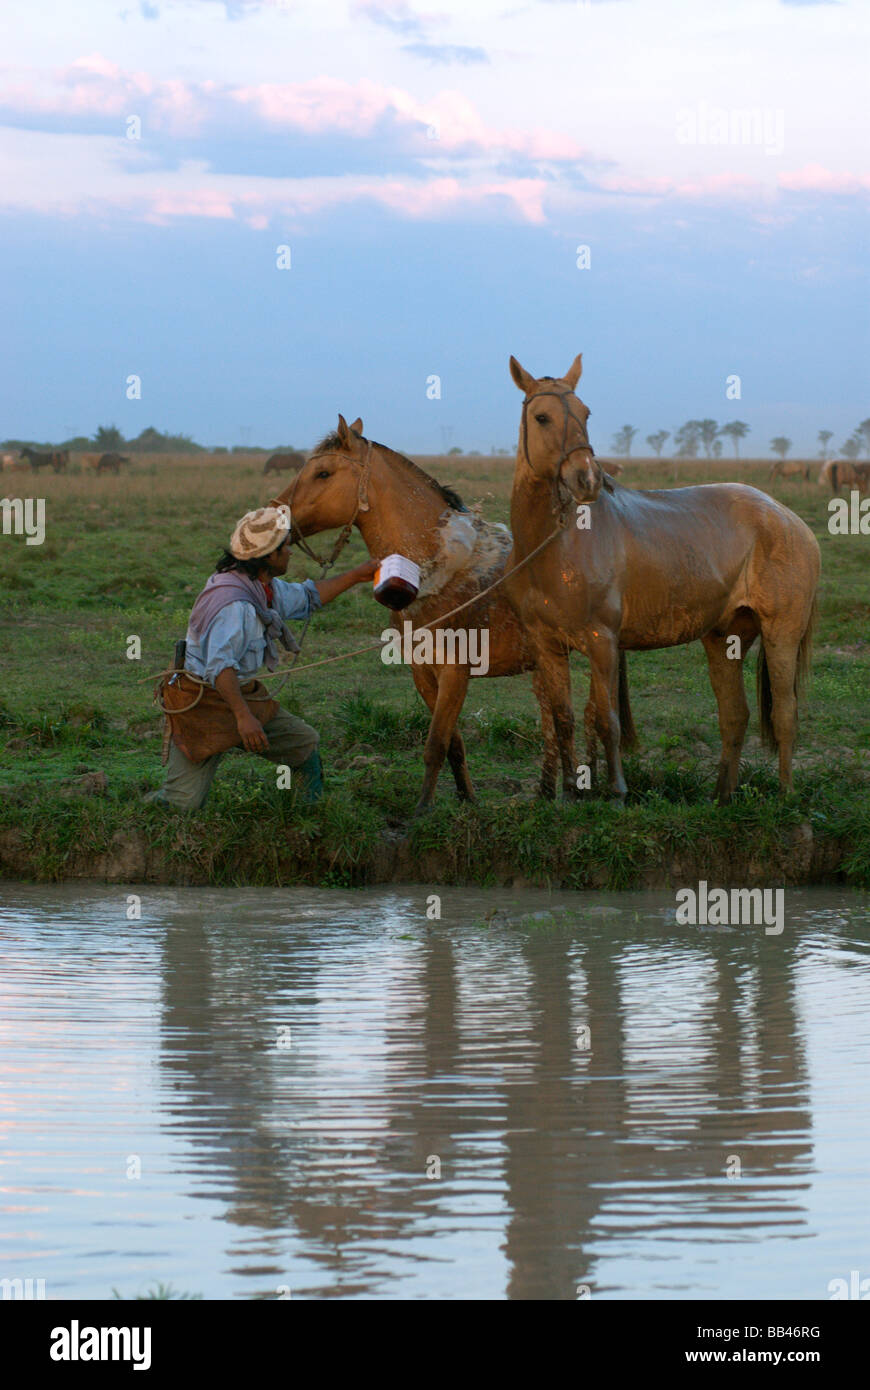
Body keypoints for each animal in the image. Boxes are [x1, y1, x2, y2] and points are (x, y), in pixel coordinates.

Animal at [268, 411, 633, 811]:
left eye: (323, 474)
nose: (271, 518)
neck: (438, 567)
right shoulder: (423, 673)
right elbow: (453, 742)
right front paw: (466, 800)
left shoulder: (455, 673)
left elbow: (435, 743)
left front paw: (422, 811)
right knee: (552, 722)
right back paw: (546, 791)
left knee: (590, 716)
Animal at [505, 353, 817, 806]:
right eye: (542, 417)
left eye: (585, 413)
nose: (588, 479)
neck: (555, 545)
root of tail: (789, 517)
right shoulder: (547, 647)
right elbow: (562, 719)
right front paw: (568, 794)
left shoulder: (602, 643)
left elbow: (607, 720)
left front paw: (617, 793)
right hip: (724, 637)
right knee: (735, 715)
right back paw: (722, 797)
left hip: (782, 633)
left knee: (786, 713)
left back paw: (787, 794)